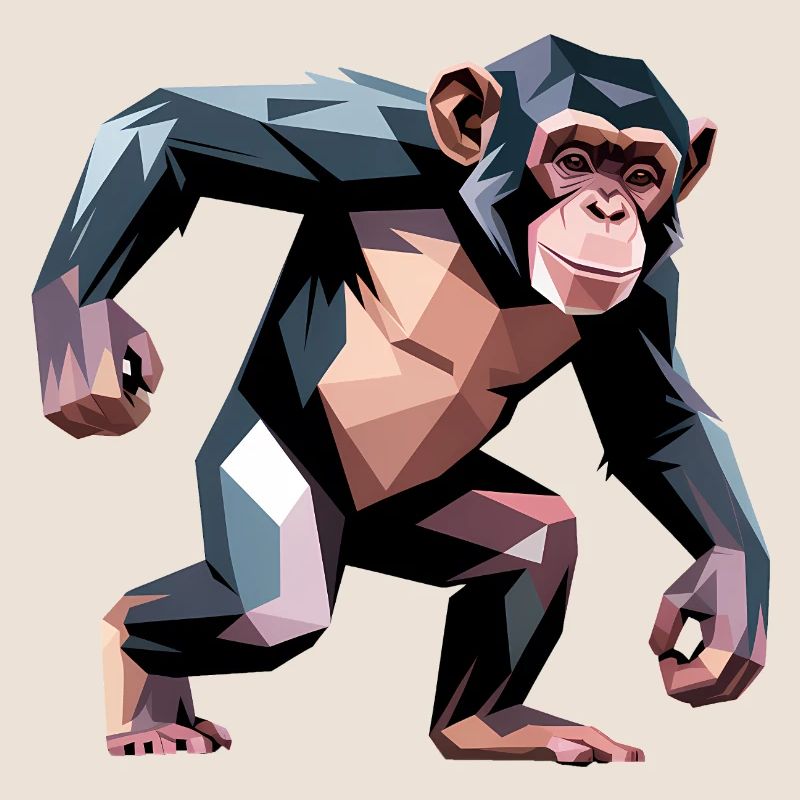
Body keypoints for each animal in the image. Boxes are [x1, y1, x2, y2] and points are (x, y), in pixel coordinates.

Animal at [32, 35, 769, 763]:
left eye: (642, 177)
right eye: (574, 161)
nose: (610, 211)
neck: (494, 252)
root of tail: (361, 534)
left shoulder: (649, 286)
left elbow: (656, 422)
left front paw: (726, 601)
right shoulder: (376, 143)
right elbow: (177, 131)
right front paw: (86, 338)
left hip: (425, 514)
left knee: (540, 541)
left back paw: (485, 726)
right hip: (274, 470)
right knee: (271, 614)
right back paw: (137, 678)